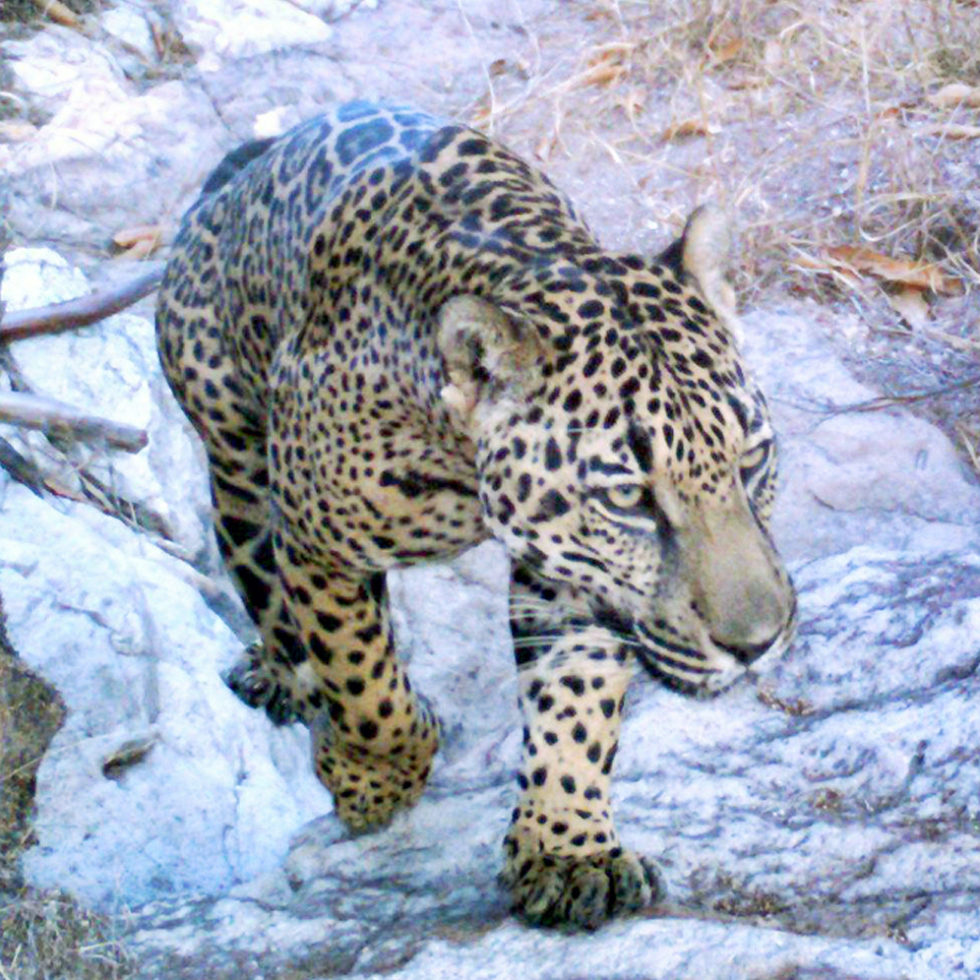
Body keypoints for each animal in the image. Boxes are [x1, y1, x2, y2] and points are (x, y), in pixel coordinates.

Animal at [155, 100, 797, 930]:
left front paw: (568, 850)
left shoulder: (572, 571)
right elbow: (362, 678)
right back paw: (285, 675)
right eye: (630, 498)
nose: (757, 645)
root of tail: (240, 174)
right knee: (262, 586)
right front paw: (373, 777)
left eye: (750, 460)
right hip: (237, 457)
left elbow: (576, 701)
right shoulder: (316, 542)